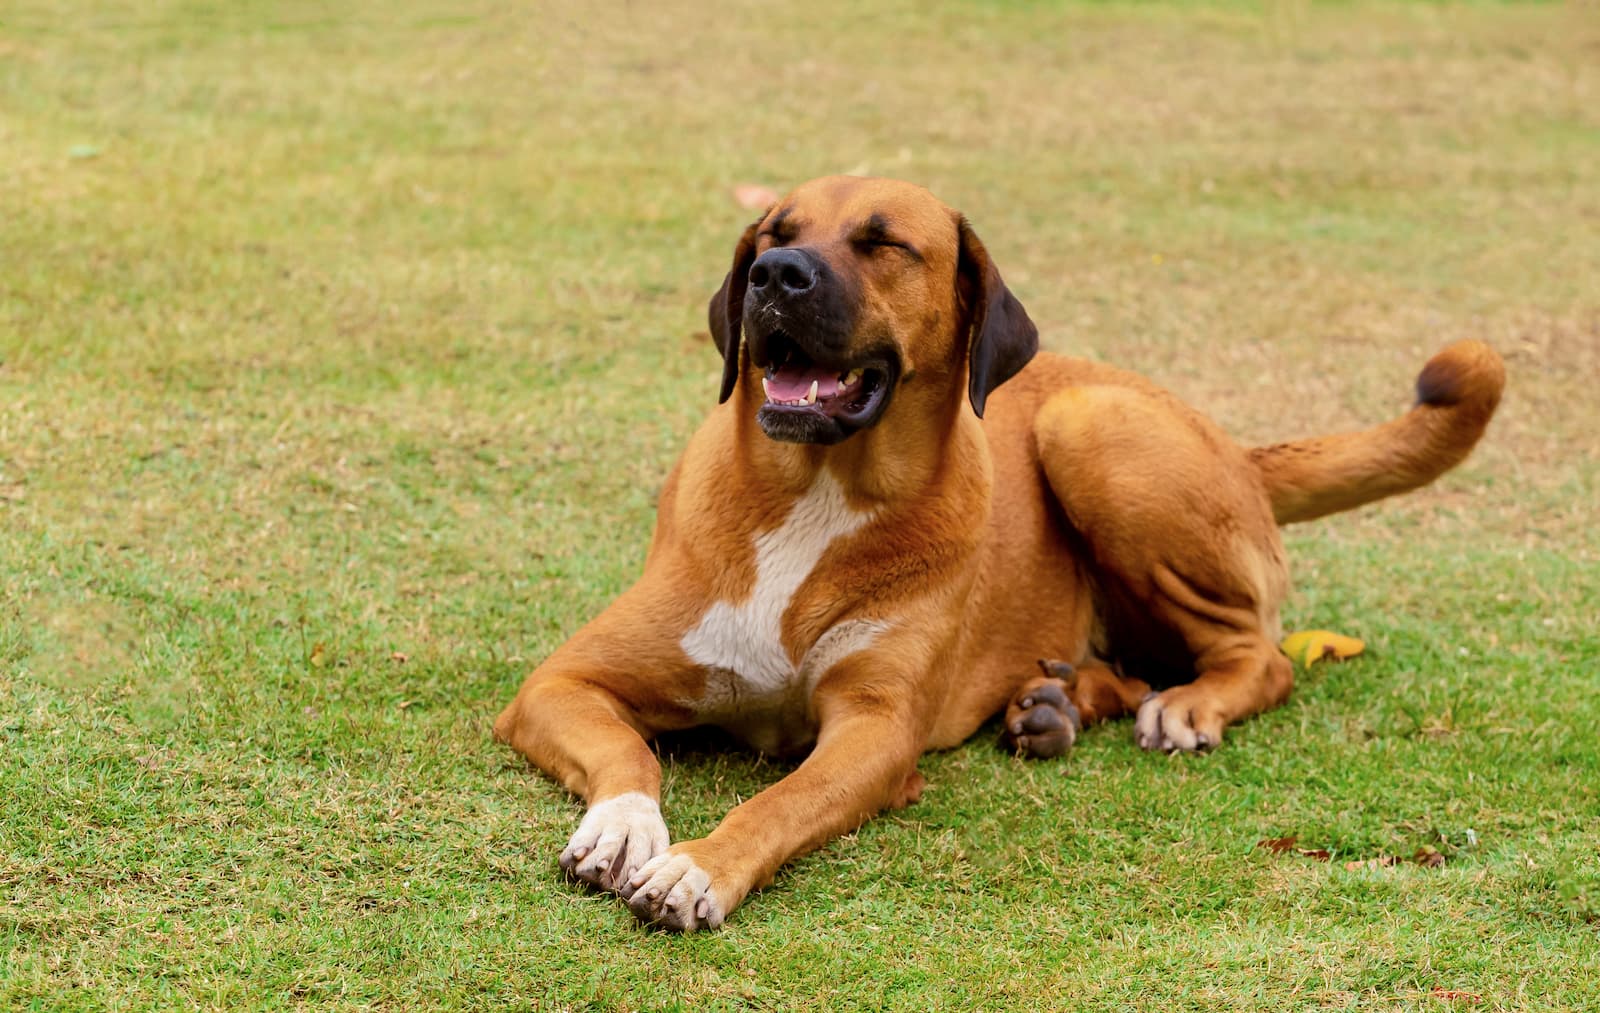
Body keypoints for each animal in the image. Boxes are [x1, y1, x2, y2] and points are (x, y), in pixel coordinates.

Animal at [492, 172, 1504, 921]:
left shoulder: (874, 732)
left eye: (885, 243)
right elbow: (629, 754)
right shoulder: (560, 683)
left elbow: (778, 801)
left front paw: (699, 865)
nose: (773, 274)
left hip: (1090, 430)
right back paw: (1055, 704)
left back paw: (1183, 705)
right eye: (774, 230)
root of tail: (1231, 442)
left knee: (1260, 654)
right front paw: (626, 827)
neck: (815, 491)